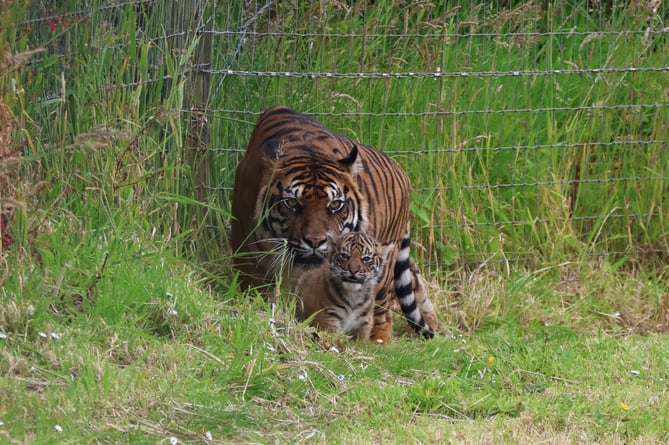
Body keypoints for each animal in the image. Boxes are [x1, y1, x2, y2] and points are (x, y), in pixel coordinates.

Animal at [231, 106, 438, 342]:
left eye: (335, 205)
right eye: (292, 203)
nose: (315, 241)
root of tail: (401, 171)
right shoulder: (248, 260)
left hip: (383, 266)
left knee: (383, 312)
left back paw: (377, 342)